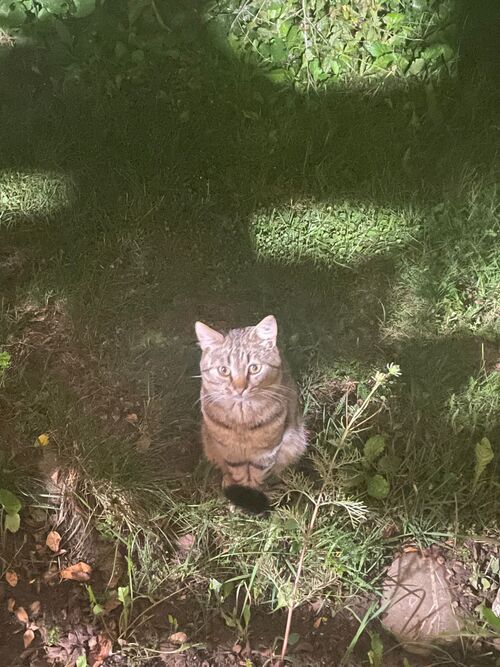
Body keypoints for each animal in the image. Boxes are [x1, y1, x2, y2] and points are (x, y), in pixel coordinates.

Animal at [194, 316, 304, 516]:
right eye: (224, 370)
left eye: (254, 368)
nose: (239, 388)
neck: (242, 419)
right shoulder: (230, 450)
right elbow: (238, 472)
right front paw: (241, 497)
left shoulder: (266, 450)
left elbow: (257, 474)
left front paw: (252, 498)